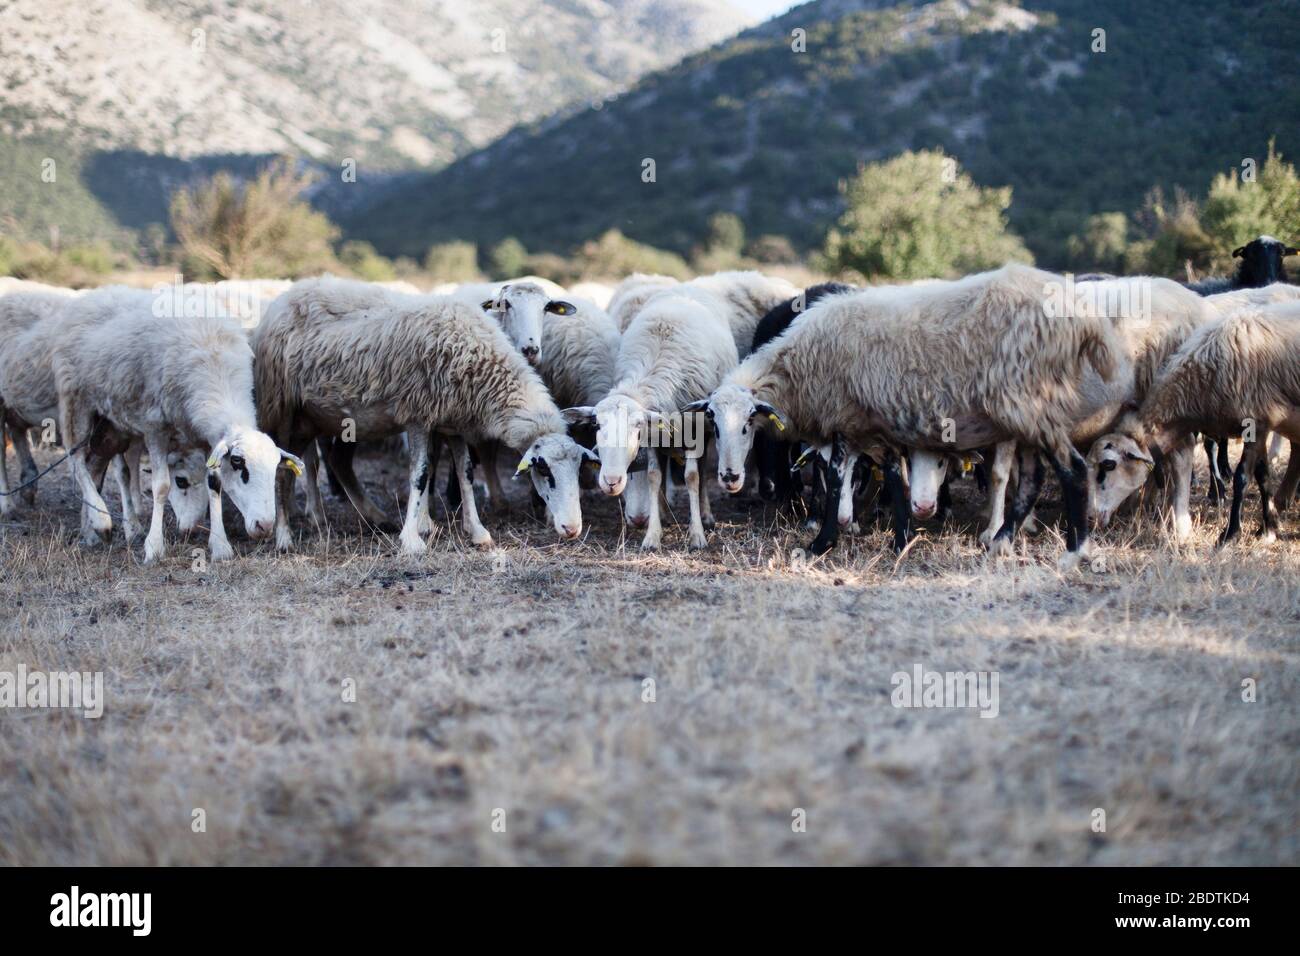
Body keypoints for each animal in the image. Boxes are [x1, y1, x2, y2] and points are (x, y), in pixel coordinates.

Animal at [49, 287, 302, 562]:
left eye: (276, 468)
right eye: (238, 462)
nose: (264, 526)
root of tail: (92, 294)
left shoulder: (206, 440)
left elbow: (214, 485)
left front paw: (220, 546)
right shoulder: (154, 427)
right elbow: (160, 487)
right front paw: (154, 547)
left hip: (113, 423)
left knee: (110, 469)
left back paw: (103, 530)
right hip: (76, 401)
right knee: (76, 460)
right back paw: (102, 520)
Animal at [252, 276, 595, 554]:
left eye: (579, 469)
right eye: (544, 471)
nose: (571, 530)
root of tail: (283, 299)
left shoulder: (454, 422)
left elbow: (466, 473)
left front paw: (477, 532)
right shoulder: (418, 415)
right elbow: (419, 474)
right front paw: (413, 538)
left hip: (316, 417)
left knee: (328, 462)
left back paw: (373, 517)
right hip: (282, 408)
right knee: (283, 470)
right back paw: (285, 537)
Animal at [562, 286, 739, 549]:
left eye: (636, 426)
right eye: (597, 425)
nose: (611, 481)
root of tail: (685, 288)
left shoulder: (692, 431)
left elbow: (692, 477)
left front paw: (697, 534)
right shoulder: (654, 436)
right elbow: (654, 477)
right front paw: (653, 535)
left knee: (702, 468)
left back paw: (706, 515)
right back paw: (665, 514)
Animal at [695, 264, 1128, 567]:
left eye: (749, 424)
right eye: (712, 422)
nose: (730, 478)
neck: (797, 369)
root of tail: (1085, 319)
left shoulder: (844, 419)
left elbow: (835, 481)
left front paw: (821, 544)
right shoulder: (872, 425)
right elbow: (893, 476)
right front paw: (901, 539)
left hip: (1030, 405)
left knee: (1073, 470)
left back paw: (1074, 552)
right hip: (1028, 417)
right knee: (1033, 481)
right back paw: (1001, 542)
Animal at [1087, 300, 1300, 546]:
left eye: (1108, 465)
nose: (1091, 517)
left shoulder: (1257, 422)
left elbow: (1242, 478)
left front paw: (1230, 534)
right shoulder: (1261, 426)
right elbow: (1263, 475)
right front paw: (1268, 528)